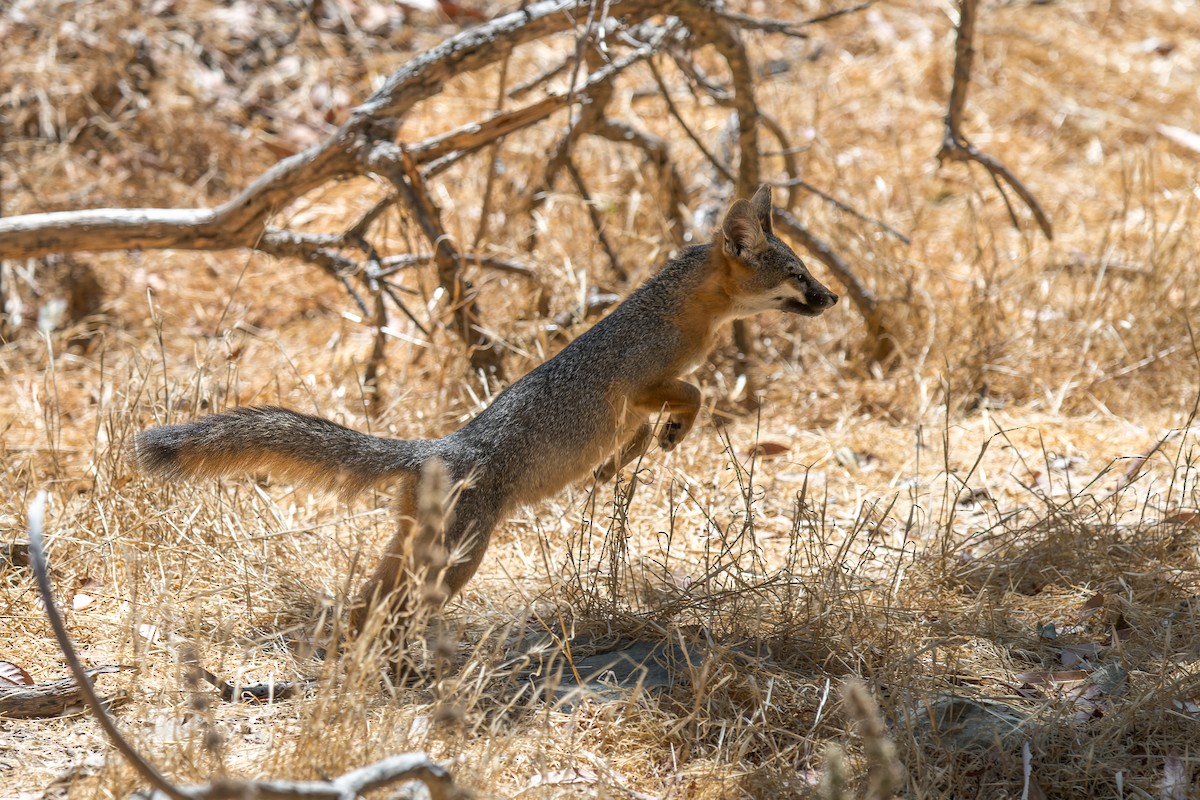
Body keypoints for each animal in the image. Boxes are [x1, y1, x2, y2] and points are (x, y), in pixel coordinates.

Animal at [134, 185, 838, 635]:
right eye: (799, 275)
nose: (832, 297)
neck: (686, 318)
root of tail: (438, 447)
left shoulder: (637, 402)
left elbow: (642, 433)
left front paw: (622, 464)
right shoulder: (638, 385)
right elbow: (695, 393)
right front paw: (670, 434)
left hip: (415, 553)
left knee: (367, 608)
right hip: (454, 562)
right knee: (395, 612)